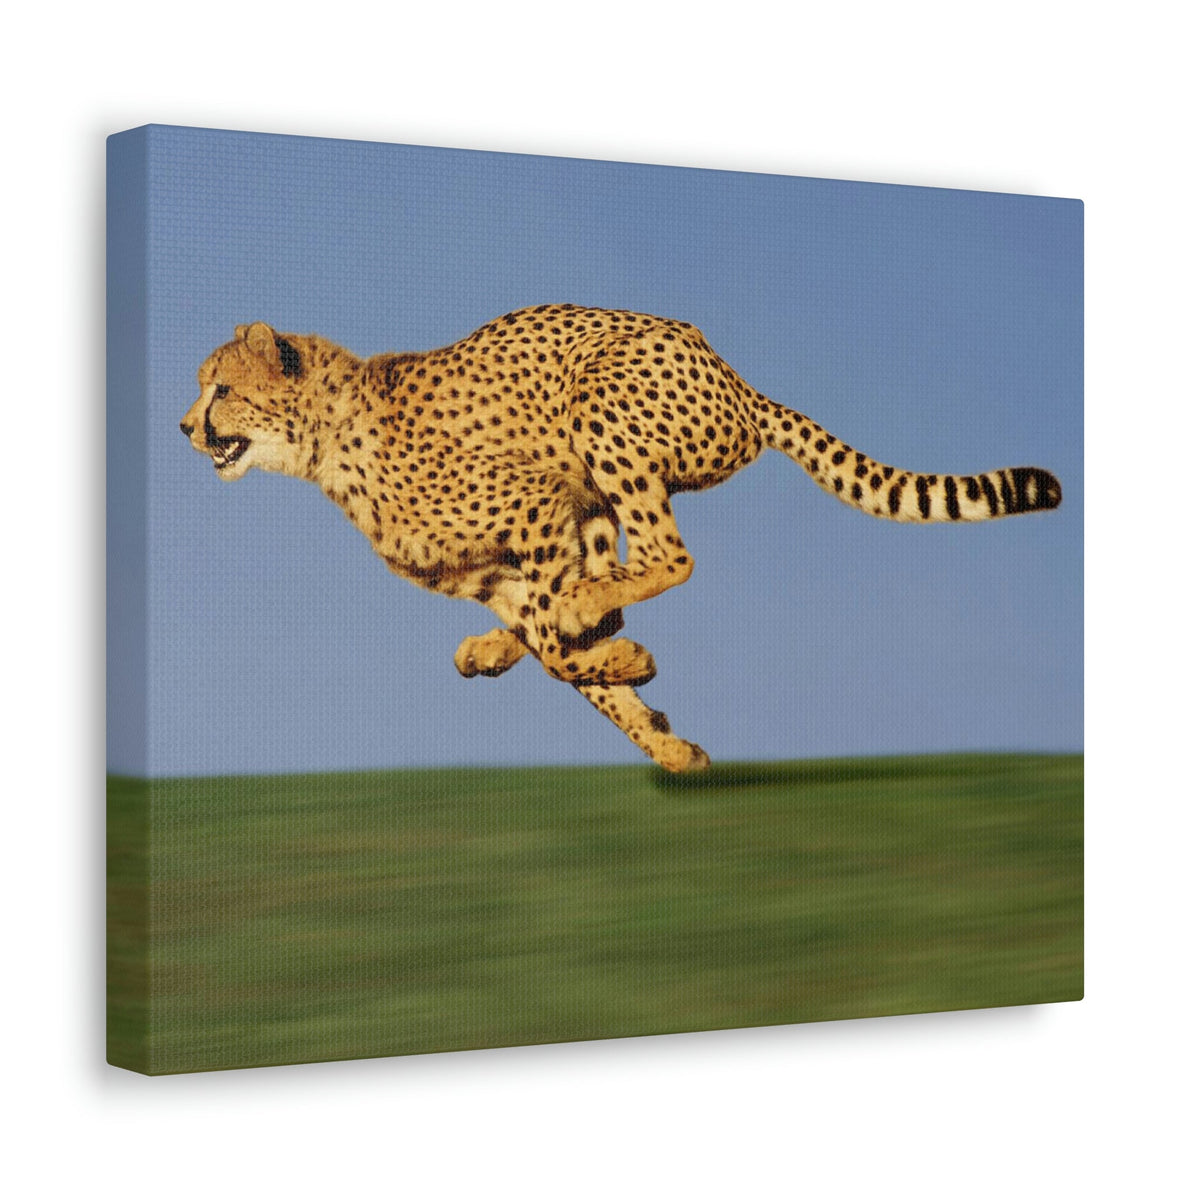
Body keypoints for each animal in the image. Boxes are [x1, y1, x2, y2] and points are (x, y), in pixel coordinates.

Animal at [181, 305, 1062, 772]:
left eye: (220, 388)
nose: (186, 426)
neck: (326, 443)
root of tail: (737, 379)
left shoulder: (533, 505)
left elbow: (564, 648)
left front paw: (632, 675)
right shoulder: (503, 565)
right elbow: (563, 654)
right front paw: (666, 745)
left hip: (596, 404)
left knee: (667, 557)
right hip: (595, 498)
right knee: (608, 585)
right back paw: (501, 648)